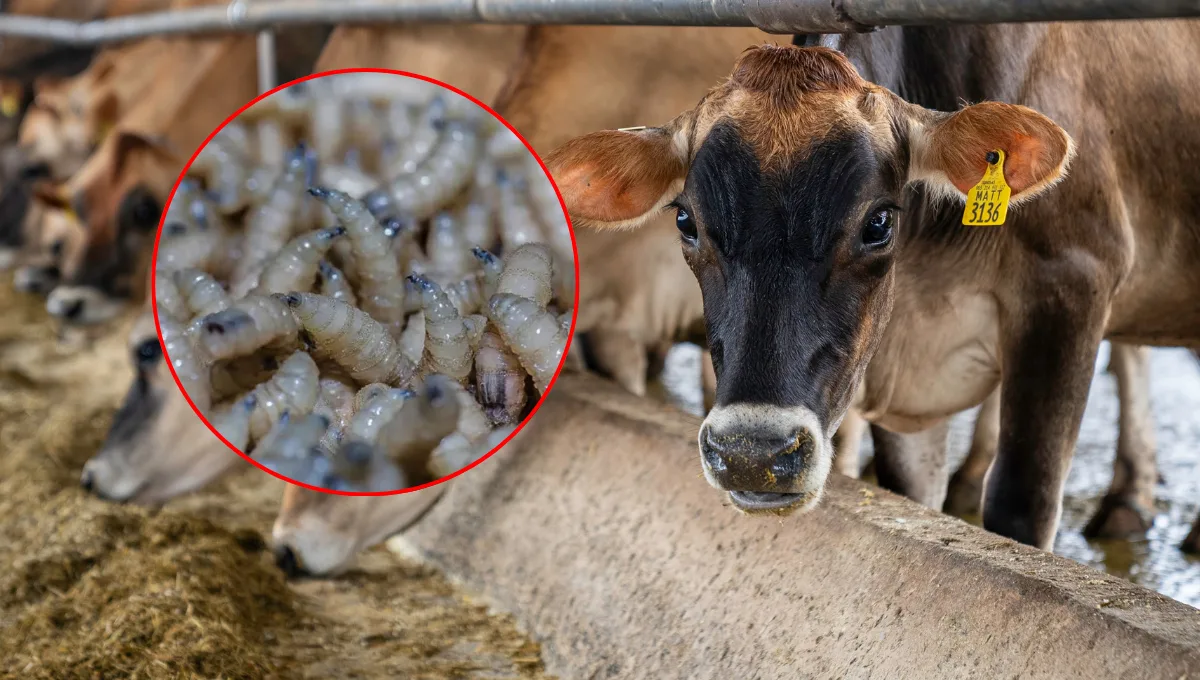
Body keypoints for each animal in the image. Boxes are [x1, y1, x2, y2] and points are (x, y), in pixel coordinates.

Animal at [547, 23, 1200, 551]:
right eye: (686, 221)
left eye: (879, 222)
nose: (751, 455)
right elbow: (914, 492)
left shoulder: (1072, 279)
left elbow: (1022, 503)